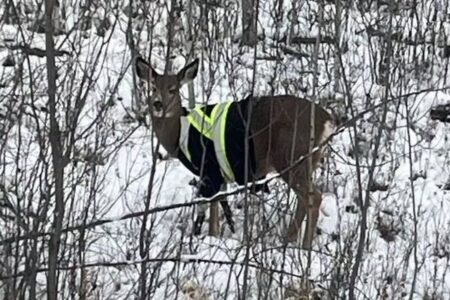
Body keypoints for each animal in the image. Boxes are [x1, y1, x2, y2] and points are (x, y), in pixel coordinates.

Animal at [135, 56, 336, 248]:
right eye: (153, 87)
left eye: (173, 89)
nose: (158, 104)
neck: (178, 135)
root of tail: (327, 122)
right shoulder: (219, 173)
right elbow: (219, 205)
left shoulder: (209, 168)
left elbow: (211, 206)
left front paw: (211, 238)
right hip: (306, 161)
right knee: (305, 199)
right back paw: (290, 240)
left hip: (291, 157)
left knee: (313, 197)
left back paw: (303, 247)